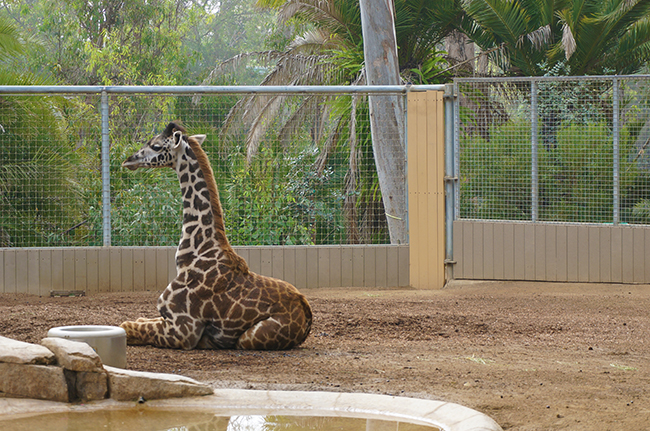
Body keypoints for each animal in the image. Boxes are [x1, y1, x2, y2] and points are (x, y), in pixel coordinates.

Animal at [121, 121, 314, 352]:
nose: (128, 160)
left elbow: (126, 326)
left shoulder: (183, 329)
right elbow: (138, 320)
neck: (192, 254)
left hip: (247, 339)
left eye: (156, 146)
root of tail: (307, 317)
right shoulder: (168, 321)